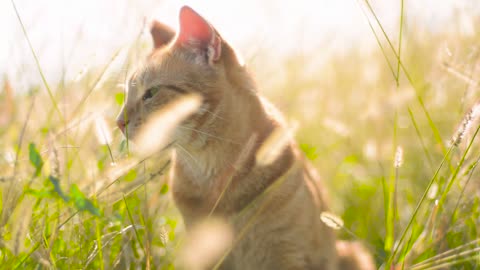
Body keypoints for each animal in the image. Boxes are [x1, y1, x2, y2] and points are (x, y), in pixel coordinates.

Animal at [117, 4, 376, 270]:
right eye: (128, 94)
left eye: (151, 93)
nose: (119, 122)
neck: (214, 173)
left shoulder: (289, 254)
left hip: (352, 253)